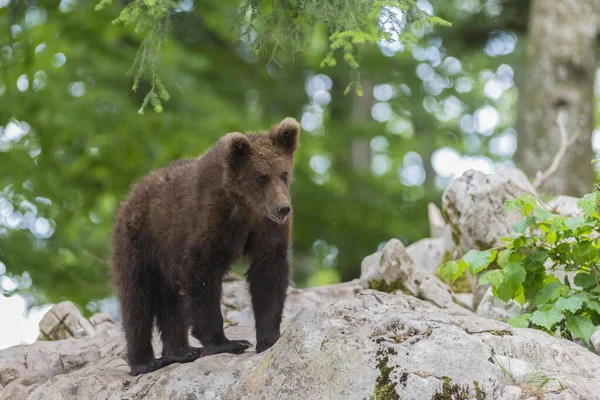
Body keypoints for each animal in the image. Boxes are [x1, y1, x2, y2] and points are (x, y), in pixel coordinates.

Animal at [109, 117, 300, 376]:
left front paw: (269, 338)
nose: (282, 208)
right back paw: (145, 361)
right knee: (137, 299)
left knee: (172, 301)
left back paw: (181, 351)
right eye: (261, 177)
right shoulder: (212, 218)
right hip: (139, 243)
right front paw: (227, 342)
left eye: (284, 173)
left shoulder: (267, 231)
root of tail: (130, 195)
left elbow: (269, 274)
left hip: (165, 256)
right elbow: (202, 274)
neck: (246, 207)